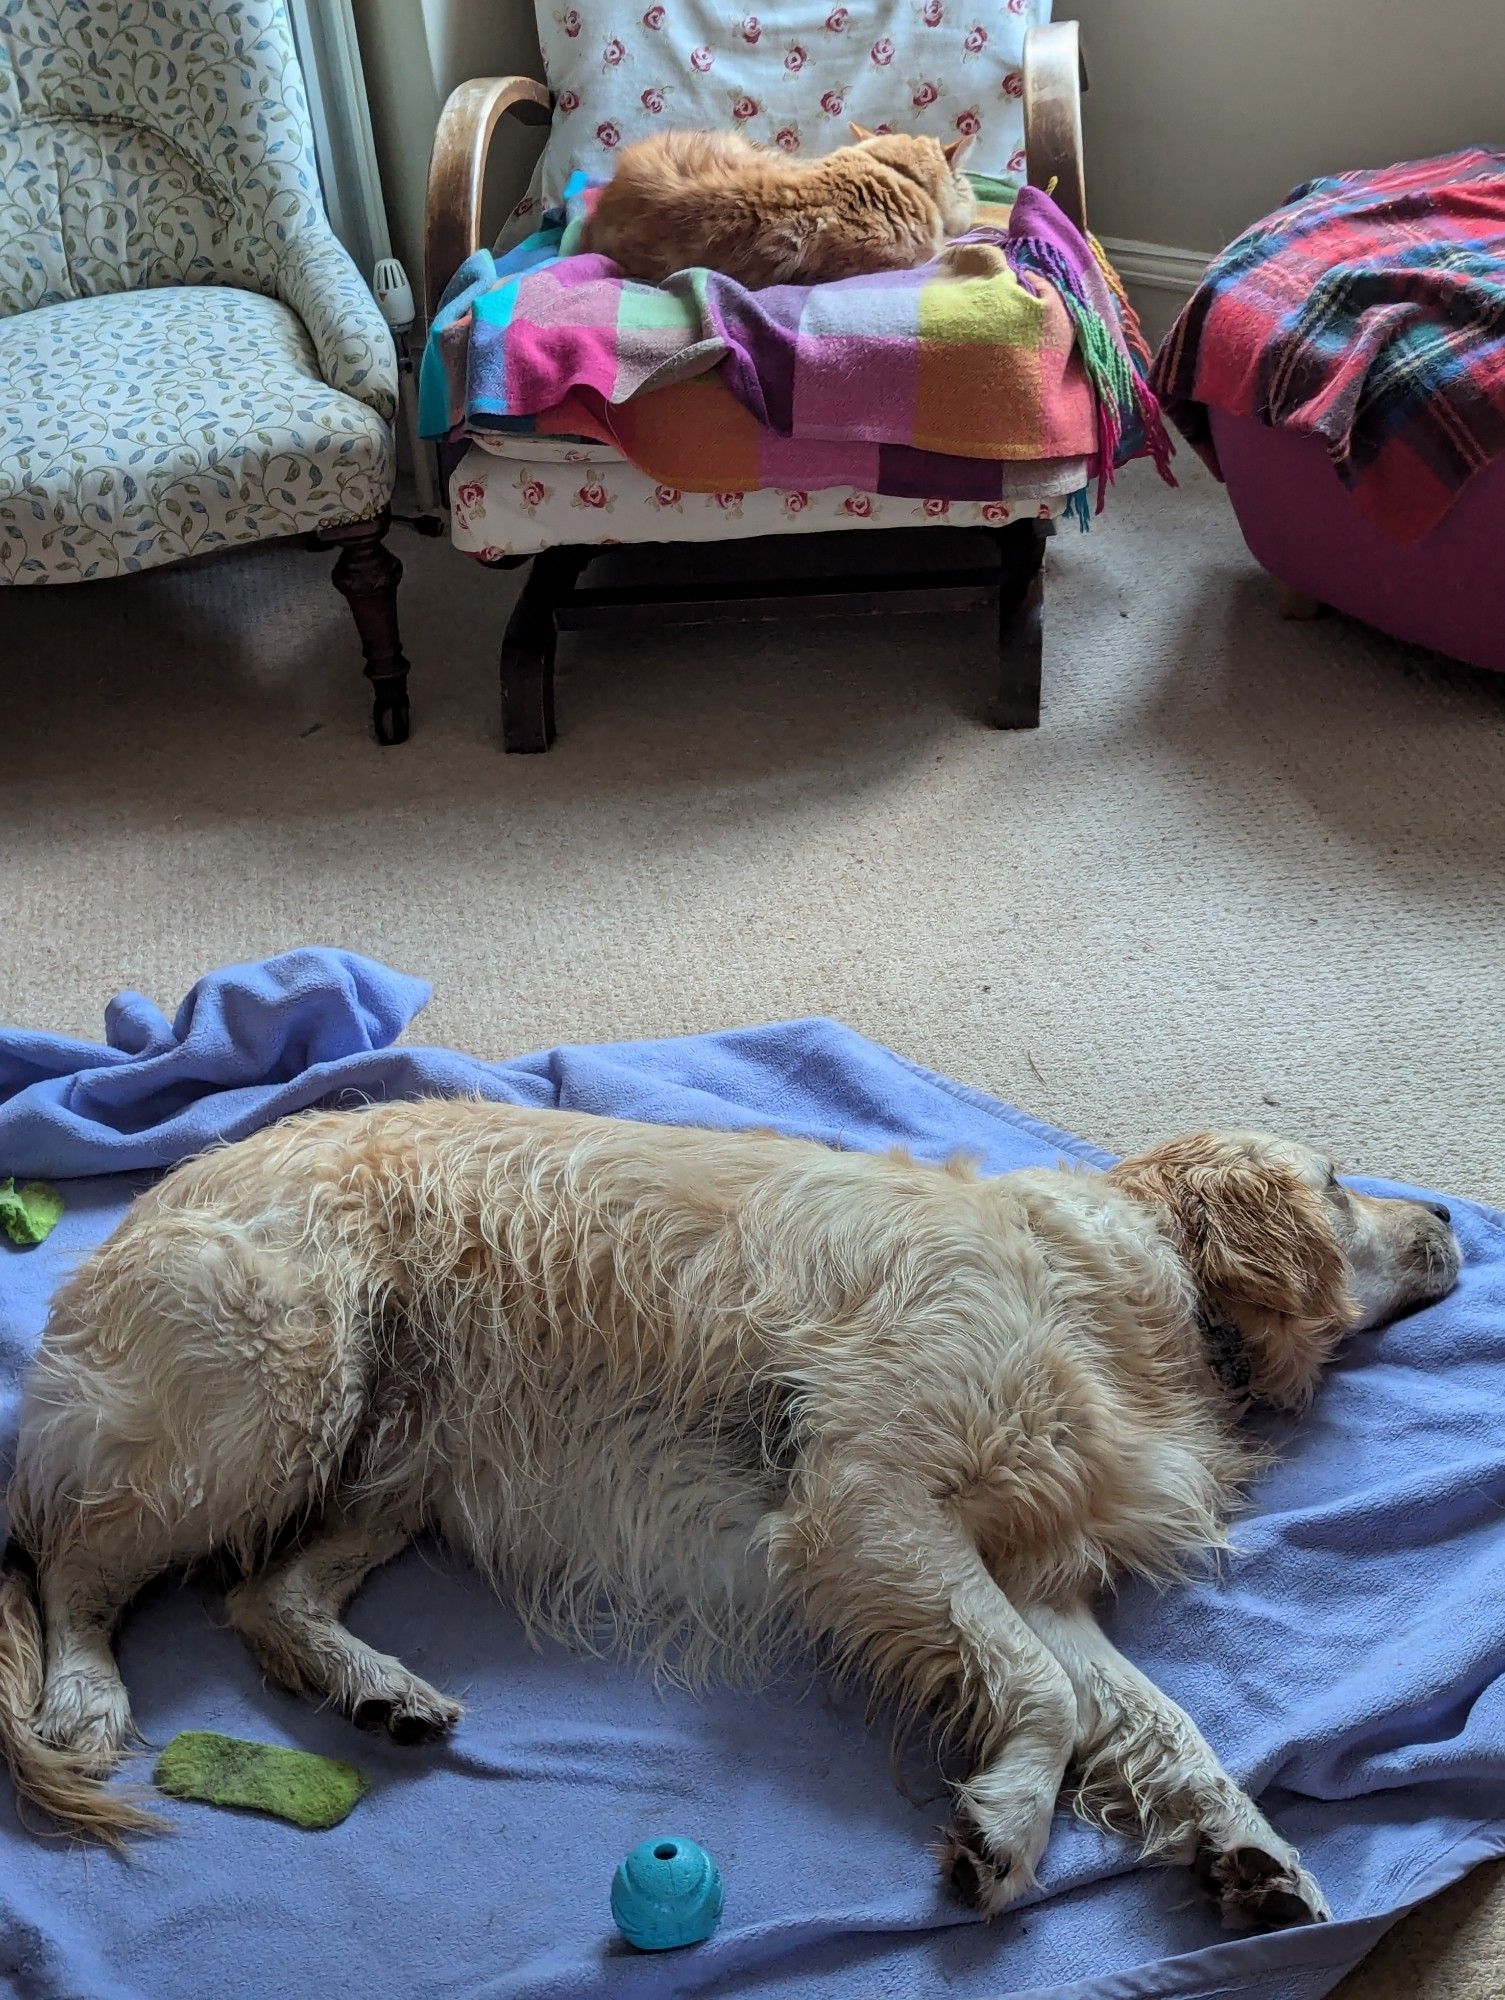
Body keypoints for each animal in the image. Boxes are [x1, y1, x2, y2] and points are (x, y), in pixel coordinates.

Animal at [0, 1104, 1456, 1928]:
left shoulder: (1027, 1572)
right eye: (1339, 1181)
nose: (1449, 1212)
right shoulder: (863, 1502)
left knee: (264, 1594)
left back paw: (379, 1690)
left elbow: (1164, 1726)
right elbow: (1041, 1693)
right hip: (277, 1387)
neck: (1140, 1290)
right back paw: (83, 1697)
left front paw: (1249, 1851)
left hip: (408, 1456)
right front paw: (1004, 1828)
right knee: (75, 1560)